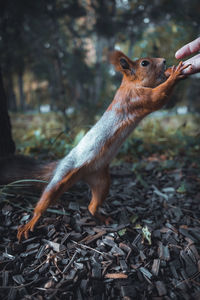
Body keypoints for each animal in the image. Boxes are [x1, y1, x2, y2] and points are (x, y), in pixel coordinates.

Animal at [0, 50, 188, 240]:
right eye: (144, 63)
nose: (164, 61)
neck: (128, 85)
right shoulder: (135, 98)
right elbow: (158, 98)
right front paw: (174, 74)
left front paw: (170, 71)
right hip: (63, 177)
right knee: (46, 198)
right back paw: (31, 221)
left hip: (101, 180)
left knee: (92, 205)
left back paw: (102, 217)